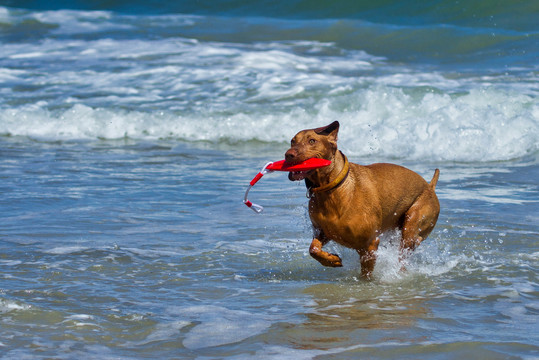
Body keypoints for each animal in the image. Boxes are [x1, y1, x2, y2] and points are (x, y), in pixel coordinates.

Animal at [284, 121, 440, 278]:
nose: (288, 154)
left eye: (312, 141)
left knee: (406, 249)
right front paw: (331, 260)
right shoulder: (322, 231)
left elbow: (366, 273)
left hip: (414, 221)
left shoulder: (369, 244)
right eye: (292, 141)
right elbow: (313, 249)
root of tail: (430, 186)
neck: (332, 190)